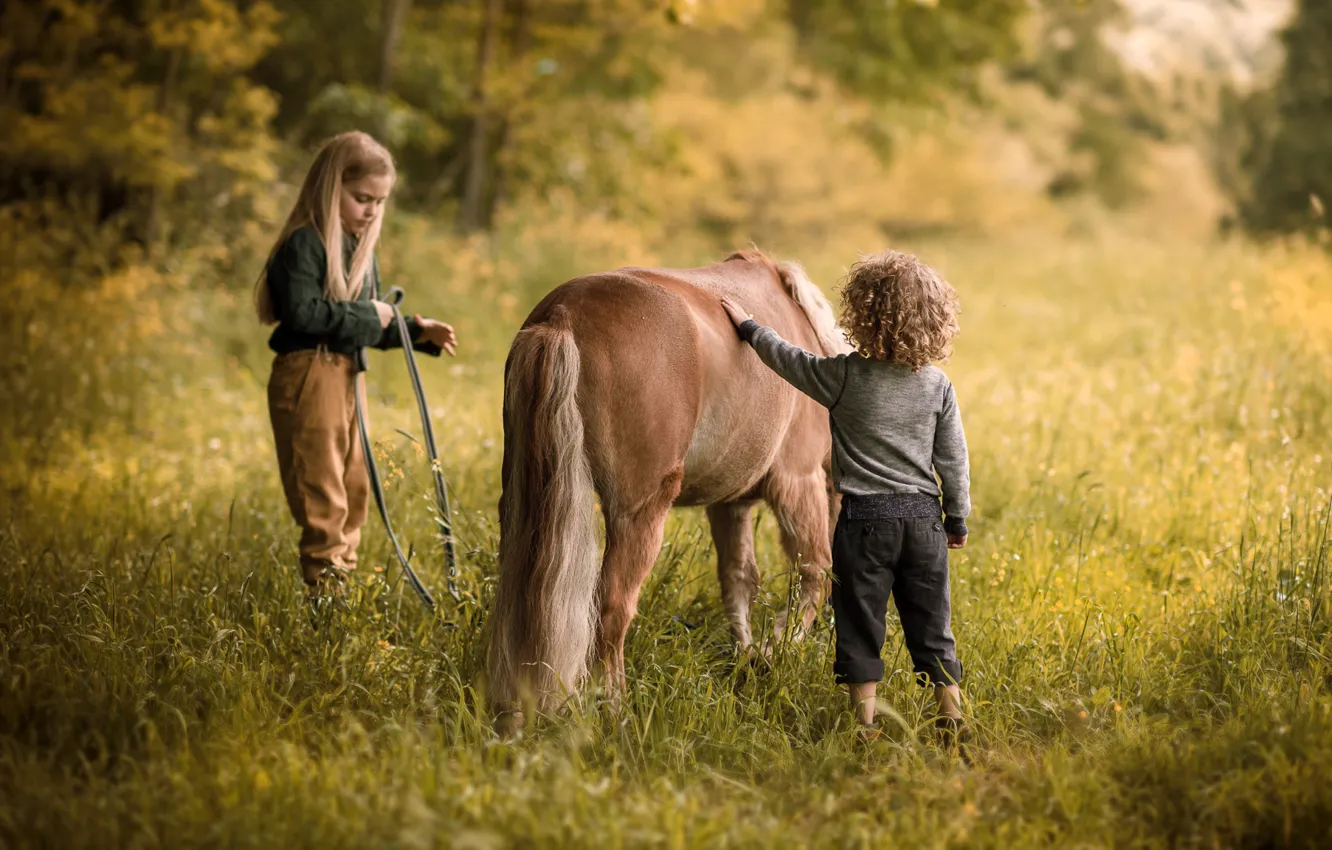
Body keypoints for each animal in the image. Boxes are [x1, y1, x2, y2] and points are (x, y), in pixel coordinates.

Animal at [484, 250, 847, 714]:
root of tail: (564, 315)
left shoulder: (729, 504)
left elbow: (739, 579)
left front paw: (746, 654)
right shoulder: (797, 482)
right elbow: (814, 570)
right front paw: (773, 651)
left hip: (524, 506)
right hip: (638, 514)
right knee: (613, 608)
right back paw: (615, 705)